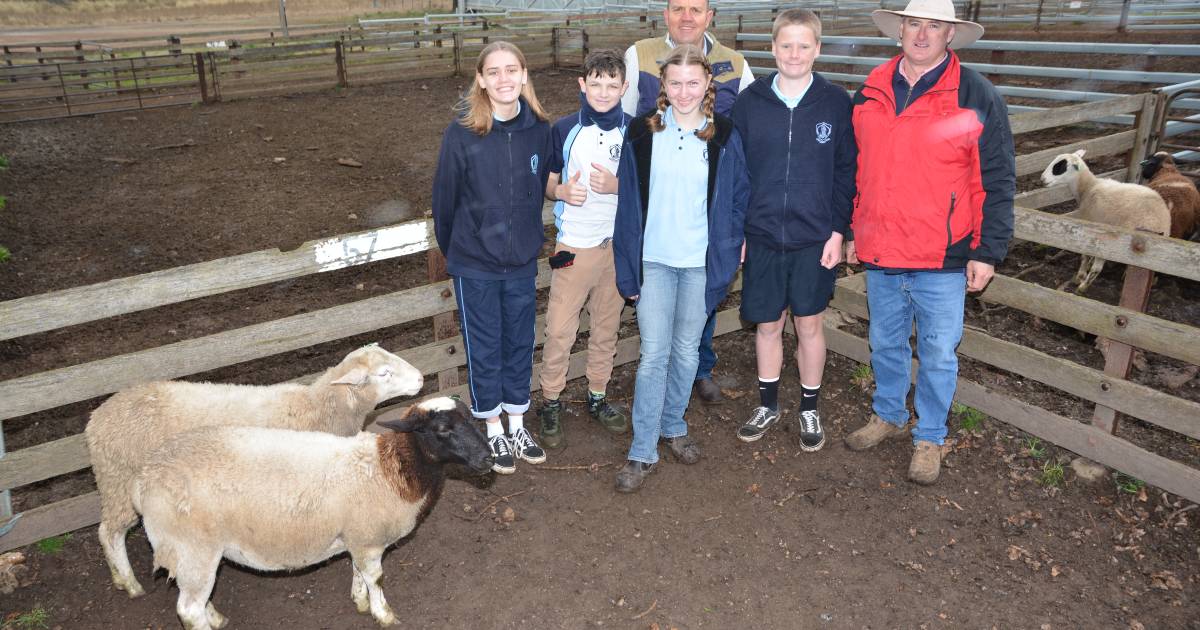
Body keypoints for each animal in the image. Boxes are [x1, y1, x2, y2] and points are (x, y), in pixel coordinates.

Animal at [85, 340, 422, 597]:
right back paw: (130, 584)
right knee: (109, 533)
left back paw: (119, 578)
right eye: (384, 372)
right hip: (118, 481)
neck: (318, 407)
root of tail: (95, 419)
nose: (420, 379)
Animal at [129, 398, 489, 628]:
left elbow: (358, 571)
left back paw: (215, 617)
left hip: (196, 554)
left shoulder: (357, 537)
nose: (488, 458)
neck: (391, 470)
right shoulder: (369, 538)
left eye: (473, 419)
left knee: (196, 599)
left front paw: (360, 601)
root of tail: (144, 479)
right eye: (441, 428)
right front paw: (384, 614)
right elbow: (376, 578)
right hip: (192, 547)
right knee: (189, 610)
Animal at [1036, 148, 1166, 294]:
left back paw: (1082, 287)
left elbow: (1085, 256)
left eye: (1060, 166)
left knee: (1097, 268)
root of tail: (1159, 225)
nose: (1042, 179)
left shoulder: (1089, 227)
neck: (1088, 187)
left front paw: (1080, 276)